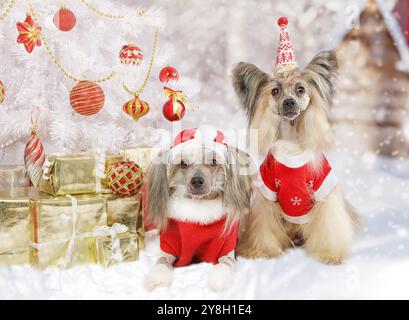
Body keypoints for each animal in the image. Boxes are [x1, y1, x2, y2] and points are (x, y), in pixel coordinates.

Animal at [143, 127, 252, 290]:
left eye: (213, 162)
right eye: (182, 164)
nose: (196, 181)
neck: (198, 208)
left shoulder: (226, 249)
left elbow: (224, 265)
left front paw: (218, 281)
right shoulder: (169, 247)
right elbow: (161, 262)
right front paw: (159, 278)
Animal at [231, 16, 358, 264]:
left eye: (300, 89)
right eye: (275, 92)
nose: (289, 102)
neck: (292, 146)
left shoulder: (323, 192)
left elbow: (329, 226)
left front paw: (330, 253)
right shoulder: (267, 196)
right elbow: (263, 226)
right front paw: (262, 251)